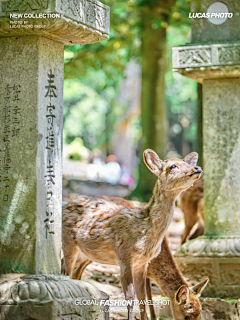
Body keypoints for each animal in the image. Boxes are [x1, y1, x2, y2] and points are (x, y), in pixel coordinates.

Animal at [62, 150, 202, 320]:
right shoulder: (125, 256)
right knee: (67, 272)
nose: (197, 168)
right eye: (173, 166)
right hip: (68, 243)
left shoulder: (142, 263)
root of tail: (65, 205)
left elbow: (142, 295)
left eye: (187, 163)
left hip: (85, 254)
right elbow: (130, 296)